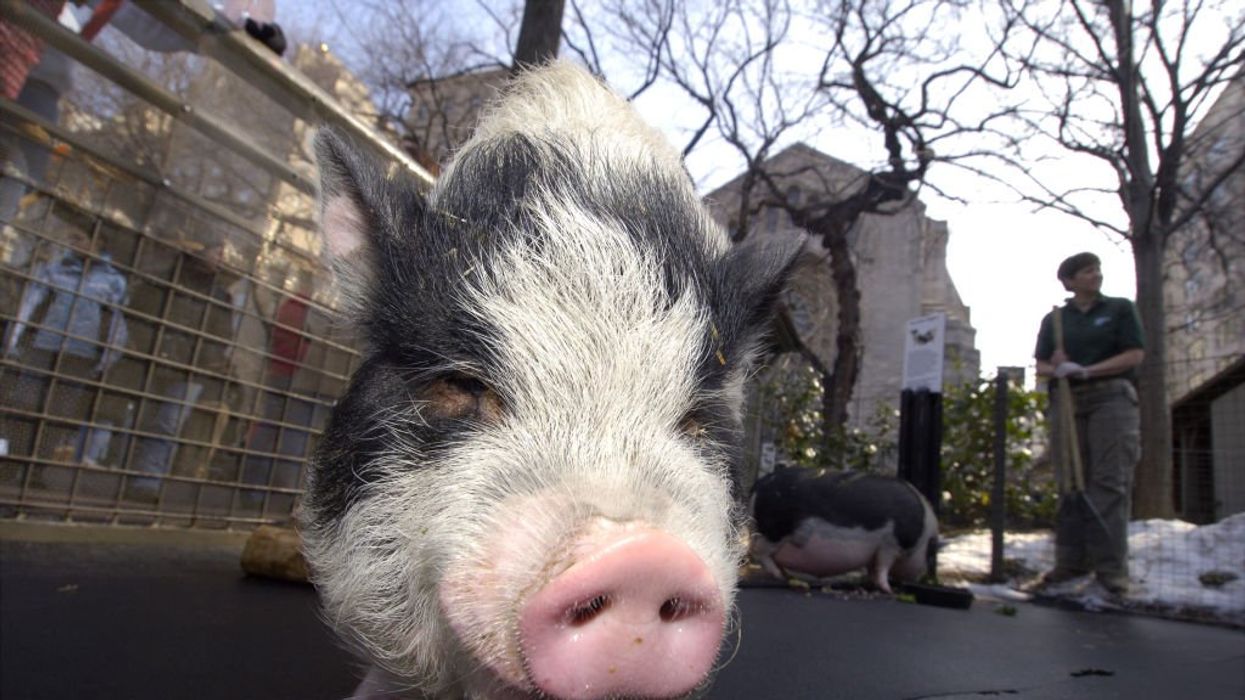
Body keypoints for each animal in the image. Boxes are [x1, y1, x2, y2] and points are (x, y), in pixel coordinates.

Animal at [749, 467, 938, 593]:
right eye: (930, 554)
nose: (919, 576)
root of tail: (759, 485)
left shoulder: (877, 551)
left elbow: (873, 567)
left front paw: (870, 583)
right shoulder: (890, 543)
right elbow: (883, 566)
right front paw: (888, 589)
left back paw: (785, 575)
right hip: (774, 531)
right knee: (758, 551)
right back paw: (779, 575)